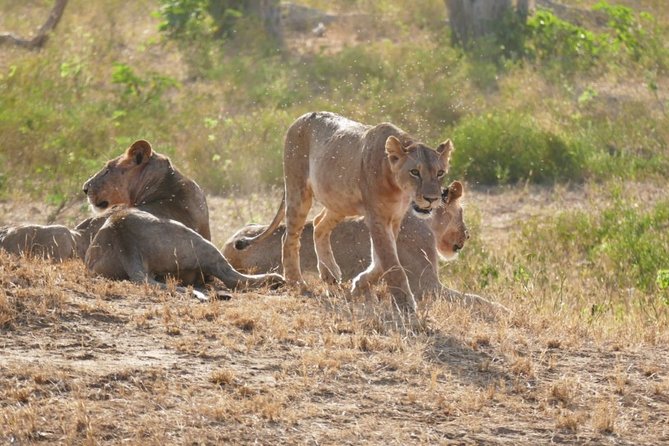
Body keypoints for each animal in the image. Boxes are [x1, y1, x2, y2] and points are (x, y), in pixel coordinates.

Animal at [235, 111, 453, 312]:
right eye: (415, 172)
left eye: (440, 173)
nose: (432, 199)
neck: (398, 188)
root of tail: (302, 116)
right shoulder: (377, 218)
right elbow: (391, 263)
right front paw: (406, 305)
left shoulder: (394, 219)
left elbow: (380, 261)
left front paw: (359, 285)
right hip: (298, 190)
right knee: (289, 237)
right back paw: (297, 281)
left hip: (338, 201)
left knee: (319, 224)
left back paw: (329, 273)